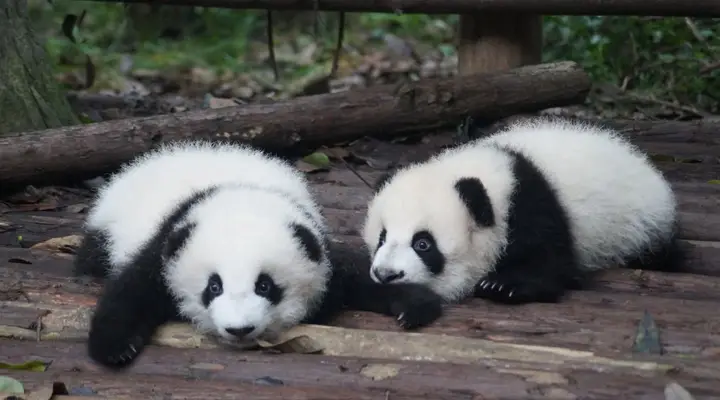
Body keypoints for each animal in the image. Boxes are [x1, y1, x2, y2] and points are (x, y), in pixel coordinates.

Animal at [74, 140, 442, 370]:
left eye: (265, 286)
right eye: (214, 287)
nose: (239, 330)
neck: (241, 194)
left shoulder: (315, 243)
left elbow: (356, 275)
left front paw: (413, 304)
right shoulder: (168, 242)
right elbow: (132, 290)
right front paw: (115, 348)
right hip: (107, 227)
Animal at [362, 117, 684, 306]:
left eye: (423, 244)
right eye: (382, 237)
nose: (386, 274)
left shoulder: (531, 205)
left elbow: (551, 262)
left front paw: (503, 285)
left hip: (644, 227)